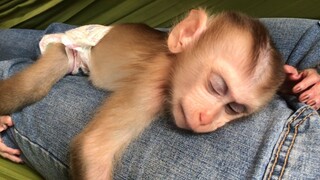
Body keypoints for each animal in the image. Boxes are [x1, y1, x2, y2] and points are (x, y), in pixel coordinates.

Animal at [0, 10, 284, 180]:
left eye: (234, 108)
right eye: (217, 86)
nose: (206, 118)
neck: (172, 61)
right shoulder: (154, 77)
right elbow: (94, 148)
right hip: (66, 42)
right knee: (33, 84)